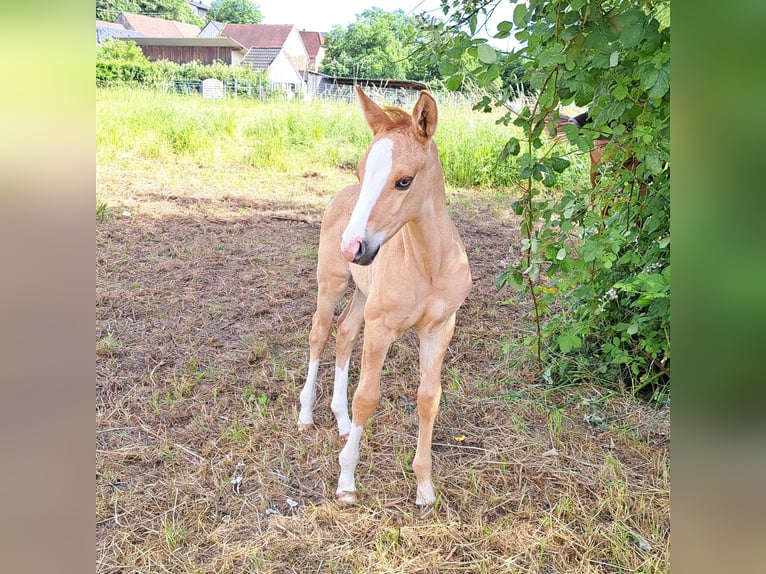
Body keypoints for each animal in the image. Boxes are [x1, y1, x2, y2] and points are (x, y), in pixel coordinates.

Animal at [297, 86, 472, 506]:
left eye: (404, 181)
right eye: (361, 173)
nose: (351, 246)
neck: (429, 264)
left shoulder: (439, 329)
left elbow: (429, 398)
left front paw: (424, 487)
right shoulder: (380, 328)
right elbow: (367, 397)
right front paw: (346, 481)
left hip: (363, 295)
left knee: (345, 333)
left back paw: (342, 421)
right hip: (332, 283)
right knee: (320, 333)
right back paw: (306, 416)